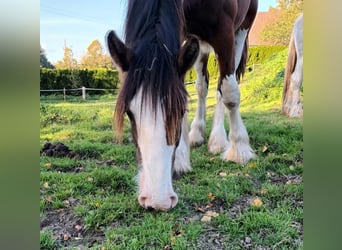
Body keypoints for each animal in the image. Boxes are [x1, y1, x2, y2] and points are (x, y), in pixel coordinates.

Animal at [105, 0, 258, 211]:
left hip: (241, 30)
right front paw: (180, 158)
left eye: (179, 110)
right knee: (202, 85)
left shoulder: (225, 31)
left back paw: (219, 140)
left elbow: (229, 92)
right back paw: (197, 134)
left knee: (224, 84)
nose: (157, 200)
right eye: (129, 113)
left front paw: (239, 149)